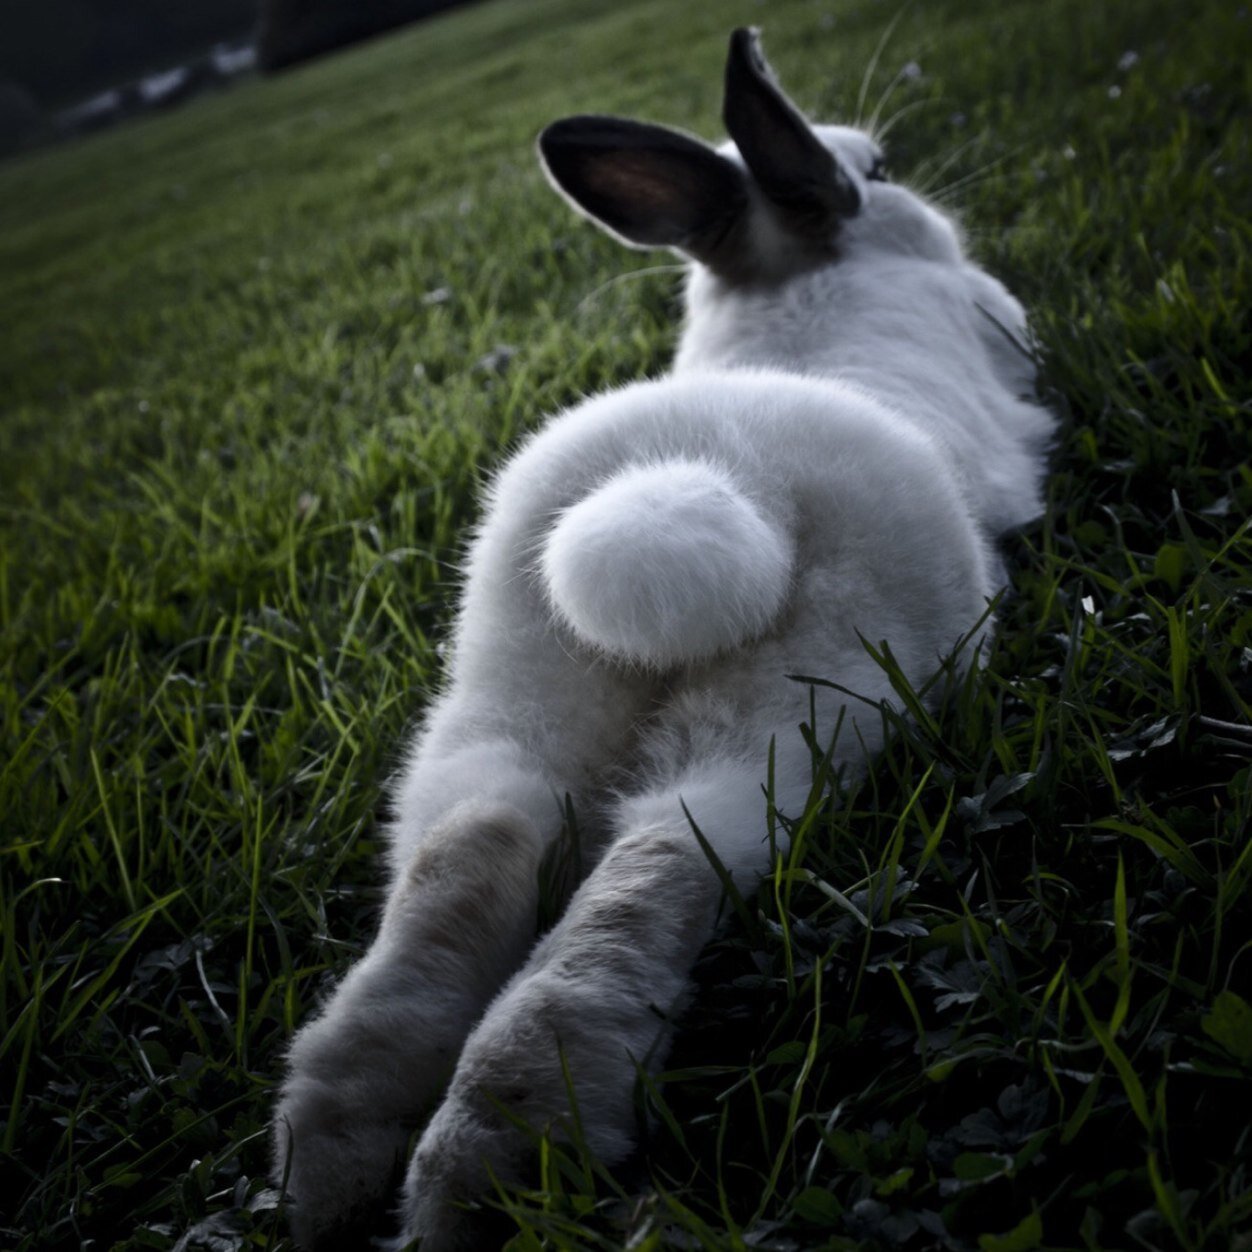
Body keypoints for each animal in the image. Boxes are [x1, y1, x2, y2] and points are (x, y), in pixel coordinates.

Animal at [272, 26, 1057, 1252]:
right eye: (875, 170)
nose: (905, 186)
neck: (794, 282)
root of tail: (705, 469)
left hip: (509, 680)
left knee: (479, 839)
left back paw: (340, 1157)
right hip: (816, 694)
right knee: (658, 858)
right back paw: (501, 1157)